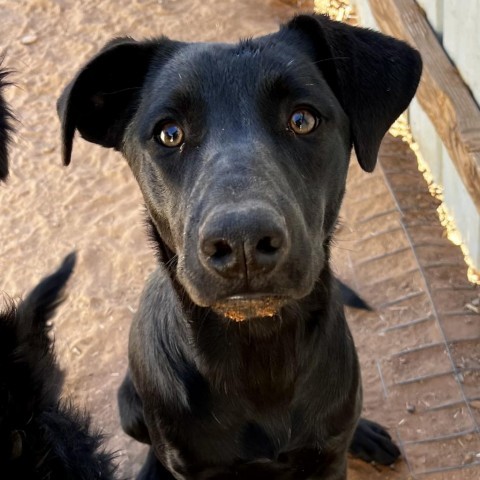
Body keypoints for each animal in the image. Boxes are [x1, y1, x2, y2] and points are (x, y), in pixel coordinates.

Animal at [58, 13, 422, 478]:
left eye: (302, 120)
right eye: (169, 133)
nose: (242, 241)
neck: (260, 357)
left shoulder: (326, 459)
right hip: (130, 407)